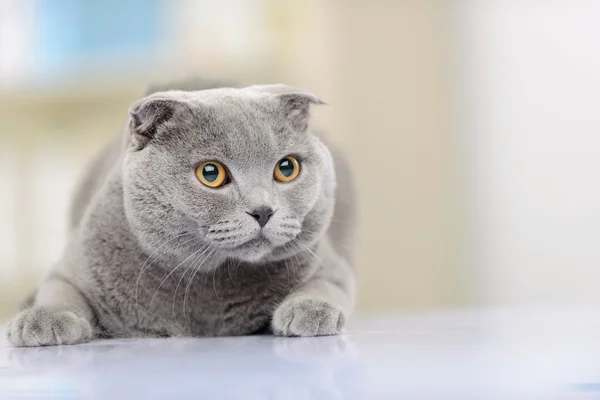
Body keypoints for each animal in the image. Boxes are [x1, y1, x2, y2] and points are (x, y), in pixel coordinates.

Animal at [5, 79, 356, 346]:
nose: (263, 211)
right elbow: (60, 291)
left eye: (286, 168)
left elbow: (326, 284)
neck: (208, 287)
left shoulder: (329, 263)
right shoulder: (73, 265)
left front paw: (312, 311)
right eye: (211, 173)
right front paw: (42, 321)